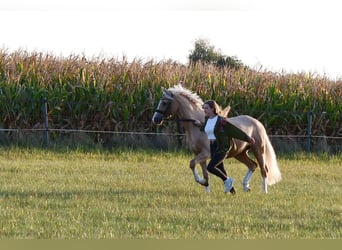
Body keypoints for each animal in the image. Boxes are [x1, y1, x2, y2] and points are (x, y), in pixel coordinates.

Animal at [152, 84, 280, 193]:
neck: (198, 127)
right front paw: (206, 188)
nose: (155, 119)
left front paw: (202, 182)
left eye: (165, 102)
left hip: (258, 150)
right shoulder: (200, 155)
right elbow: (205, 173)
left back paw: (264, 191)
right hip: (240, 153)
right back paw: (245, 186)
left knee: (264, 170)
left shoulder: (205, 154)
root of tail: (257, 122)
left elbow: (192, 164)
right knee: (252, 165)